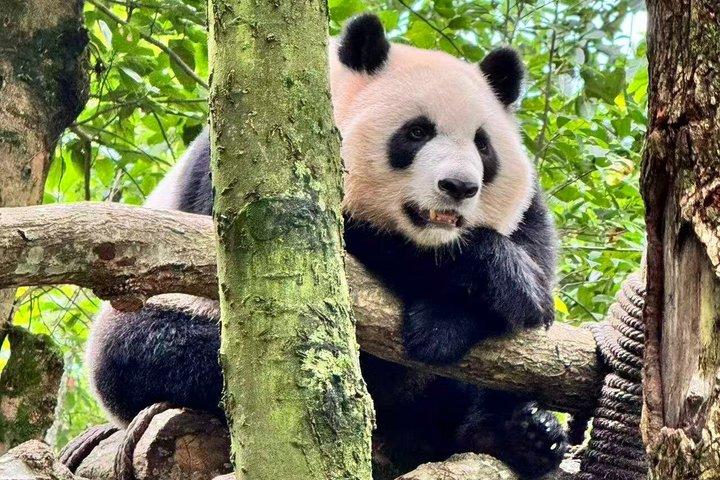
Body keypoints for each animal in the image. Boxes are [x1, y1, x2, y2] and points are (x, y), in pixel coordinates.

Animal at [86, 13, 567, 479]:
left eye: (483, 145)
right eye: (416, 133)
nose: (459, 187)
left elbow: (535, 246)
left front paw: (465, 312)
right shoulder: (236, 170)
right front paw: (490, 279)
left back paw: (522, 434)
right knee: (153, 351)